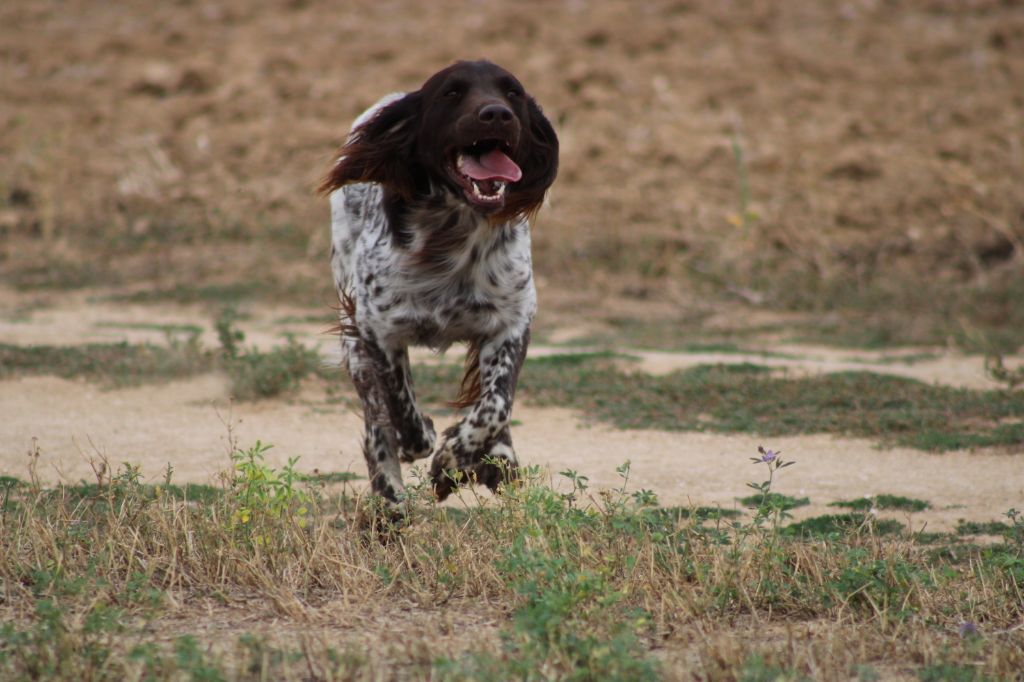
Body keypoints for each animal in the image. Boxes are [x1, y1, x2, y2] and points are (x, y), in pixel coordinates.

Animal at [319, 59, 561, 503]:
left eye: (513, 92)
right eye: (451, 92)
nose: (496, 114)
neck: (455, 233)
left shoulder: (513, 321)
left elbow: (495, 406)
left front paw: (455, 460)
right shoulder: (375, 330)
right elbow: (401, 411)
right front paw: (431, 446)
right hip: (354, 343)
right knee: (376, 422)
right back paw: (391, 496)